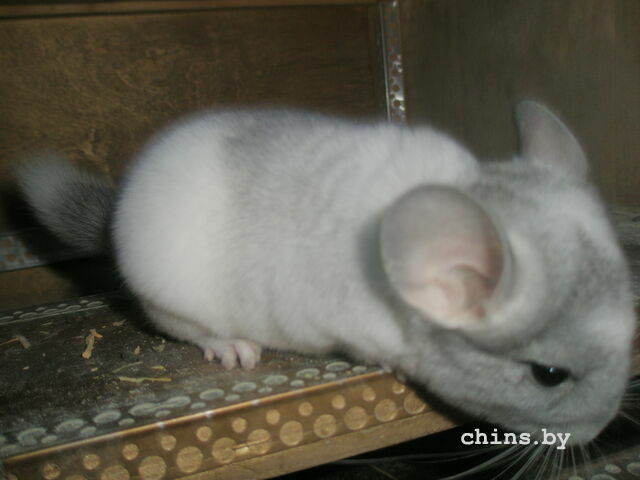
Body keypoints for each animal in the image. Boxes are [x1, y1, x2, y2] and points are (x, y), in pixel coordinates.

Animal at [16, 101, 636, 445]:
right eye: (549, 375)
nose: (600, 431)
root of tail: (119, 210)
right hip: (173, 295)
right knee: (184, 327)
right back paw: (233, 347)